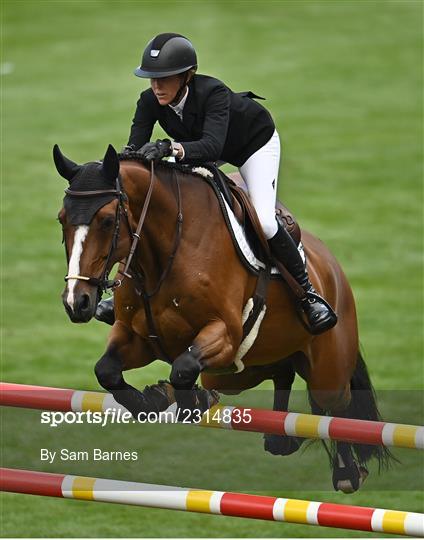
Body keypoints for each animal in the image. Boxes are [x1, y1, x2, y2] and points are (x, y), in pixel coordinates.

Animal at [54, 143, 392, 494]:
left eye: (107, 220)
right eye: (61, 219)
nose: (77, 302)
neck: (163, 254)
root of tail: (332, 267)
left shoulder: (225, 335)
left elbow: (183, 368)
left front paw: (186, 401)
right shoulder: (139, 337)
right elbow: (107, 370)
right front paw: (152, 401)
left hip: (326, 367)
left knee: (335, 407)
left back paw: (347, 471)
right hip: (235, 374)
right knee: (280, 376)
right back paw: (276, 437)